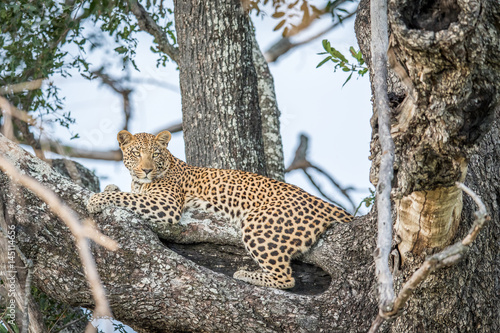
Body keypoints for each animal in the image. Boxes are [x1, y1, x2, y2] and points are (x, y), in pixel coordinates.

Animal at [87, 130, 352, 288]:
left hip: (258, 224)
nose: (146, 170)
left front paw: (96, 199)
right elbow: (126, 193)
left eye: (155, 153)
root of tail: (325, 204)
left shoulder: (166, 204)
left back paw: (245, 274)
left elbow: (125, 197)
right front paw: (109, 188)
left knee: (286, 278)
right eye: (135, 153)